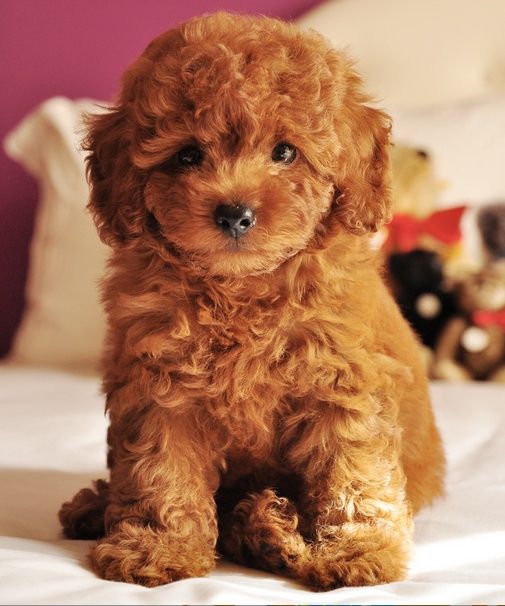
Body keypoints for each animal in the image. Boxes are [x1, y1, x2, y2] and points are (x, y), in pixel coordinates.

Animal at [60, 11, 444, 592]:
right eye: (188, 155)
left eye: (285, 152)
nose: (234, 213)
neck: (241, 291)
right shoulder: (160, 387)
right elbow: (160, 468)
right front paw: (159, 545)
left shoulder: (345, 383)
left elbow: (353, 470)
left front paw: (357, 552)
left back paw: (268, 529)